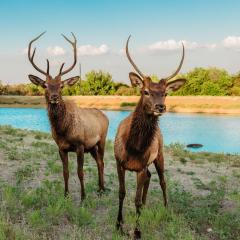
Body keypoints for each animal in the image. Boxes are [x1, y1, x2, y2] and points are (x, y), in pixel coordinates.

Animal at [27, 32, 109, 201]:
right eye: (45, 85)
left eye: (61, 85)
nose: (54, 97)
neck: (63, 130)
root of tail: (105, 116)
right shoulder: (61, 147)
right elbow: (65, 172)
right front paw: (65, 195)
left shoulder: (80, 145)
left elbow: (80, 172)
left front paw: (83, 197)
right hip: (92, 147)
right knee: (99, 162)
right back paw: (100, 188)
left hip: (102, 140)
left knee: (102, 162)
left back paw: (102, 189)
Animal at [115, 36, 188, 240]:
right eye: (145, 91)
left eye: (165, 93)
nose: (160, 107)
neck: (133, 148)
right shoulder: (119, 162)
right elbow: (122, 193)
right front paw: (118, 225)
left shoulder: (140, 166)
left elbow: (136, 200)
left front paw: (137, 231)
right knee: (150, 177)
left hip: (160, 155)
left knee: (162, 181)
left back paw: (166, 208)